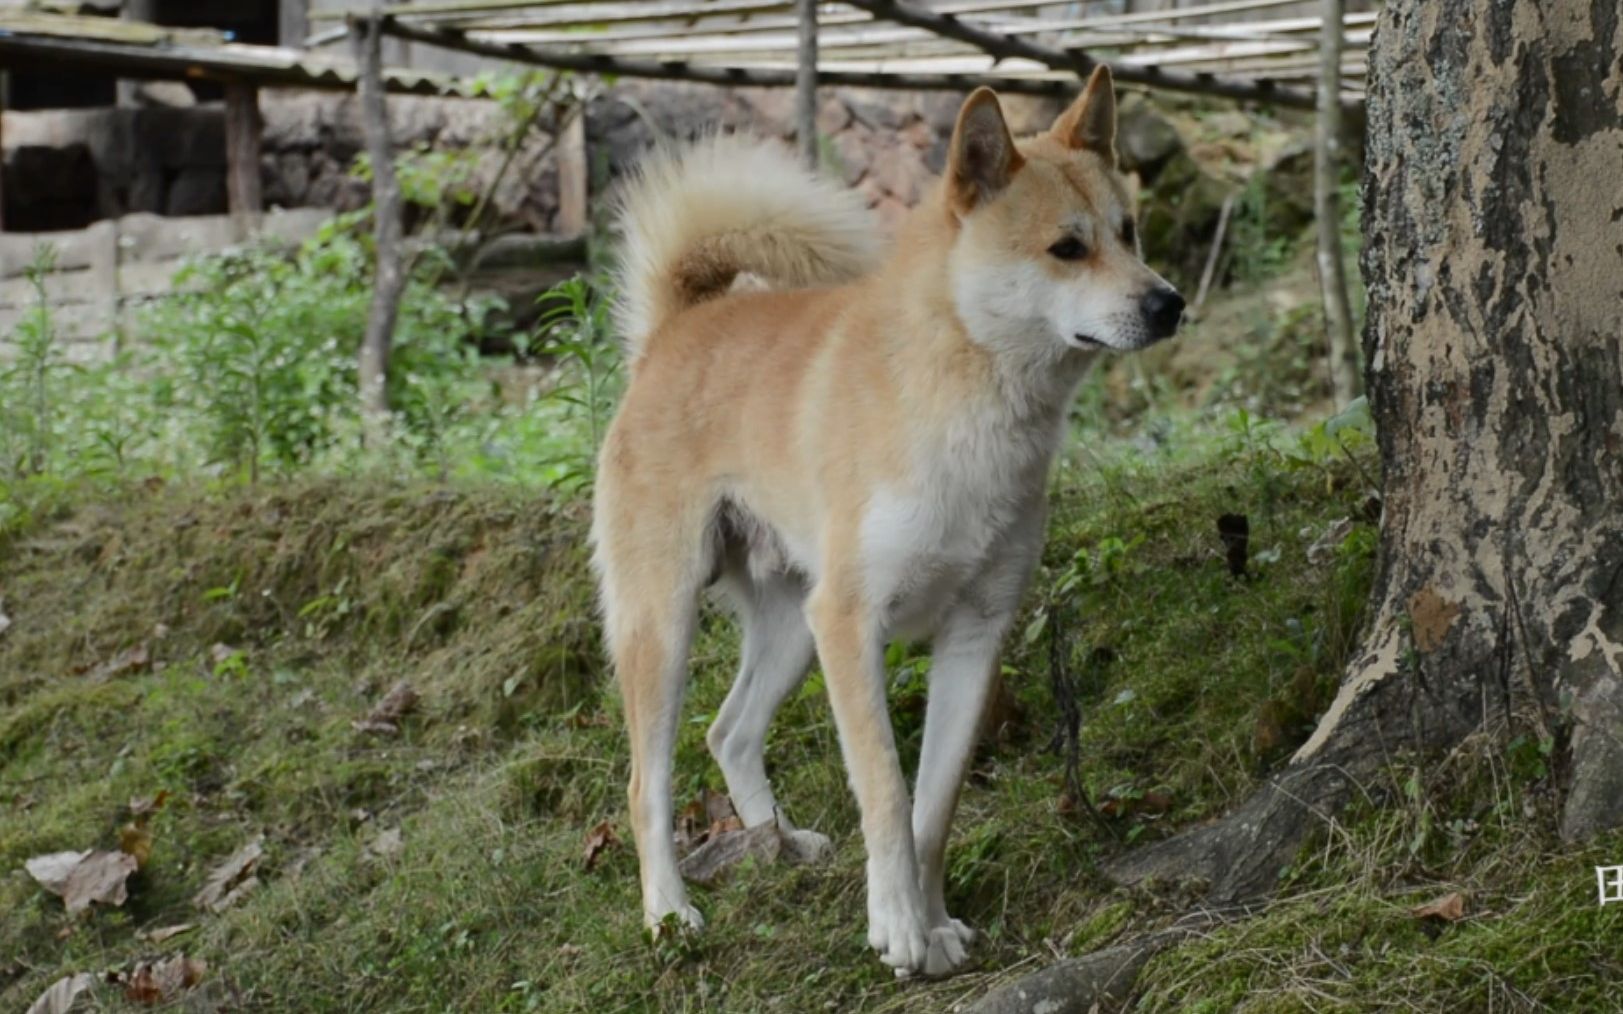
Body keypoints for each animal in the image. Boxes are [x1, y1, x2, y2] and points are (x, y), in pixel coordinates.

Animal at [594, 67, 1181, 979]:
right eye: (1067, 248)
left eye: (1128, 231)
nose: (1169, 304)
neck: (966, 406)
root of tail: (675, 330)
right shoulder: (851, 624)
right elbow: (885, 790)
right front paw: (898, 927)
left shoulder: (974, 634)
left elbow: (932, 808)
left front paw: (933, 924)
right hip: (669, 623)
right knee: (644, 785)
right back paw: (669, 912)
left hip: (790, 629)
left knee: (729, 734)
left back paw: (774, 843)